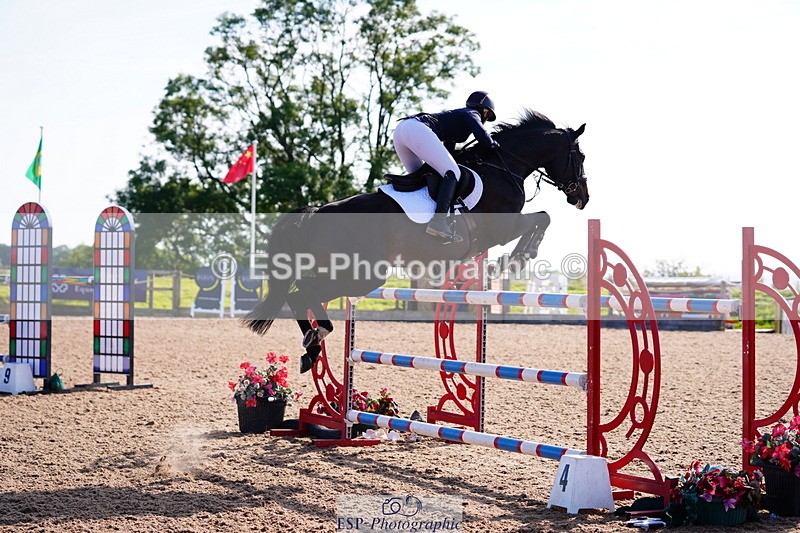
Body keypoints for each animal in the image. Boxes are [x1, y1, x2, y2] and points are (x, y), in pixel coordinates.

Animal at [243, 110, 588, 372]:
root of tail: (319, 212)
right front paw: (520, 256)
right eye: (581, 156)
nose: (582, 198)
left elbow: (542, 217)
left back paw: (311, 350)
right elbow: (542, 217)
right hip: (362, 274)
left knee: (300, 293)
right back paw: (318, 336)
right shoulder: (505, 227)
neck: (503, 166)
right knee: (303, 292)